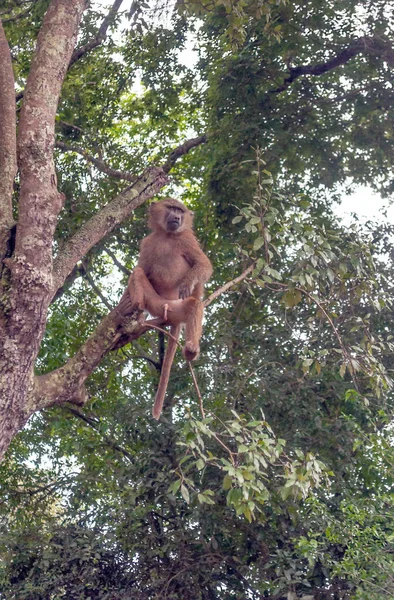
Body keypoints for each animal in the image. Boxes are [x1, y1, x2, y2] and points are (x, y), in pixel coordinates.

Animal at [127, 199, 212, 420]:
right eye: (171, 208)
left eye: (180, 210)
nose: (178, 217)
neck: (167, 235)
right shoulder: (147, 242)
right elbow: (143, 268)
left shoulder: (187, 239)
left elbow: (203, 265)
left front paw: (188, 283)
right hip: (155, 303)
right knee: (138, 273)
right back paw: (137, 308)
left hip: (176, 307)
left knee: (194, 304)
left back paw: (191, 349)